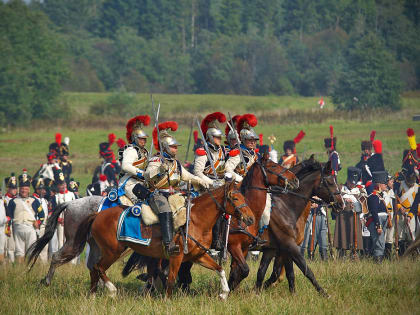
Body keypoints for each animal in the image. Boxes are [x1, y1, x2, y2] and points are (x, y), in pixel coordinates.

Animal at [68, 181, 256, 300]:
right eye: (236, 198)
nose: (251, 219)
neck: (195, 220)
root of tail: (98, 215)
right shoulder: (176, 257)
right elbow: (171, 279)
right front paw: (167, 301)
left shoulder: (198, 256)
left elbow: (220, 269)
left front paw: (224, 293)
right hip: (112, 252)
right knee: (98, 268)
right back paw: (112, 291)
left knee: (94, 269)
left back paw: (93, 297)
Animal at [254, 157, 342, 298]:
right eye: (329, 182)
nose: (341, 204)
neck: (286, 207)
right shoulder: (289, 247)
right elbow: (304, 270)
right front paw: (323, 293)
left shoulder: (279, 250)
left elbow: (275, 273)